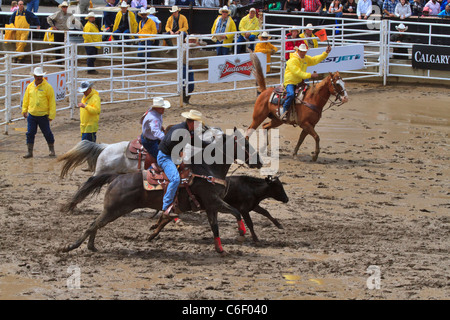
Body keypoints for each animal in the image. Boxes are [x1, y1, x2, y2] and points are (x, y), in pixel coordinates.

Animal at [60, 128, 264, 255]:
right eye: (245, 145)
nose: (260, 162)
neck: (207, 170)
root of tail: (115, 177)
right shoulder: (213, 202)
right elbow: (236, 212)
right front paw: (241, 234)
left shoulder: (210, 206)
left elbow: (215, 227)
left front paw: (220, 249)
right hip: (114, 209)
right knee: (93, 224)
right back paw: (71, 246)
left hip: (113, 209)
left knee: (94, 223)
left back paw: (90, 245)